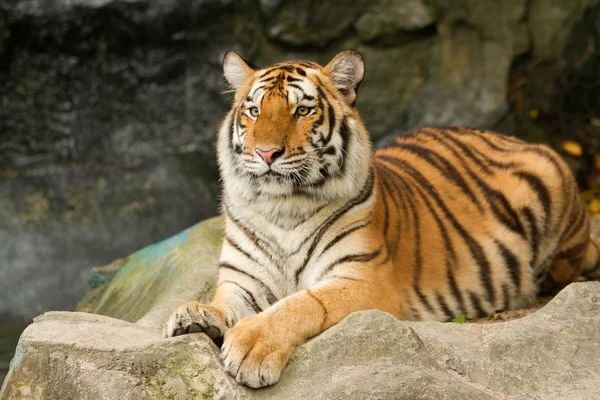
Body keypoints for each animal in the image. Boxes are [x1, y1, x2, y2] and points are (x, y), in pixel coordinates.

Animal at [163, 49, 600, 388]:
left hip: (550, 175)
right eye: (253, 111)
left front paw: (251, 346)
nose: (266, 153)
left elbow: (301, 304)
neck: (282, 208)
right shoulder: (243, 279)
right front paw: (195, 316)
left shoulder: (364, 280)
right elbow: (224, 302)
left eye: (302, 110)